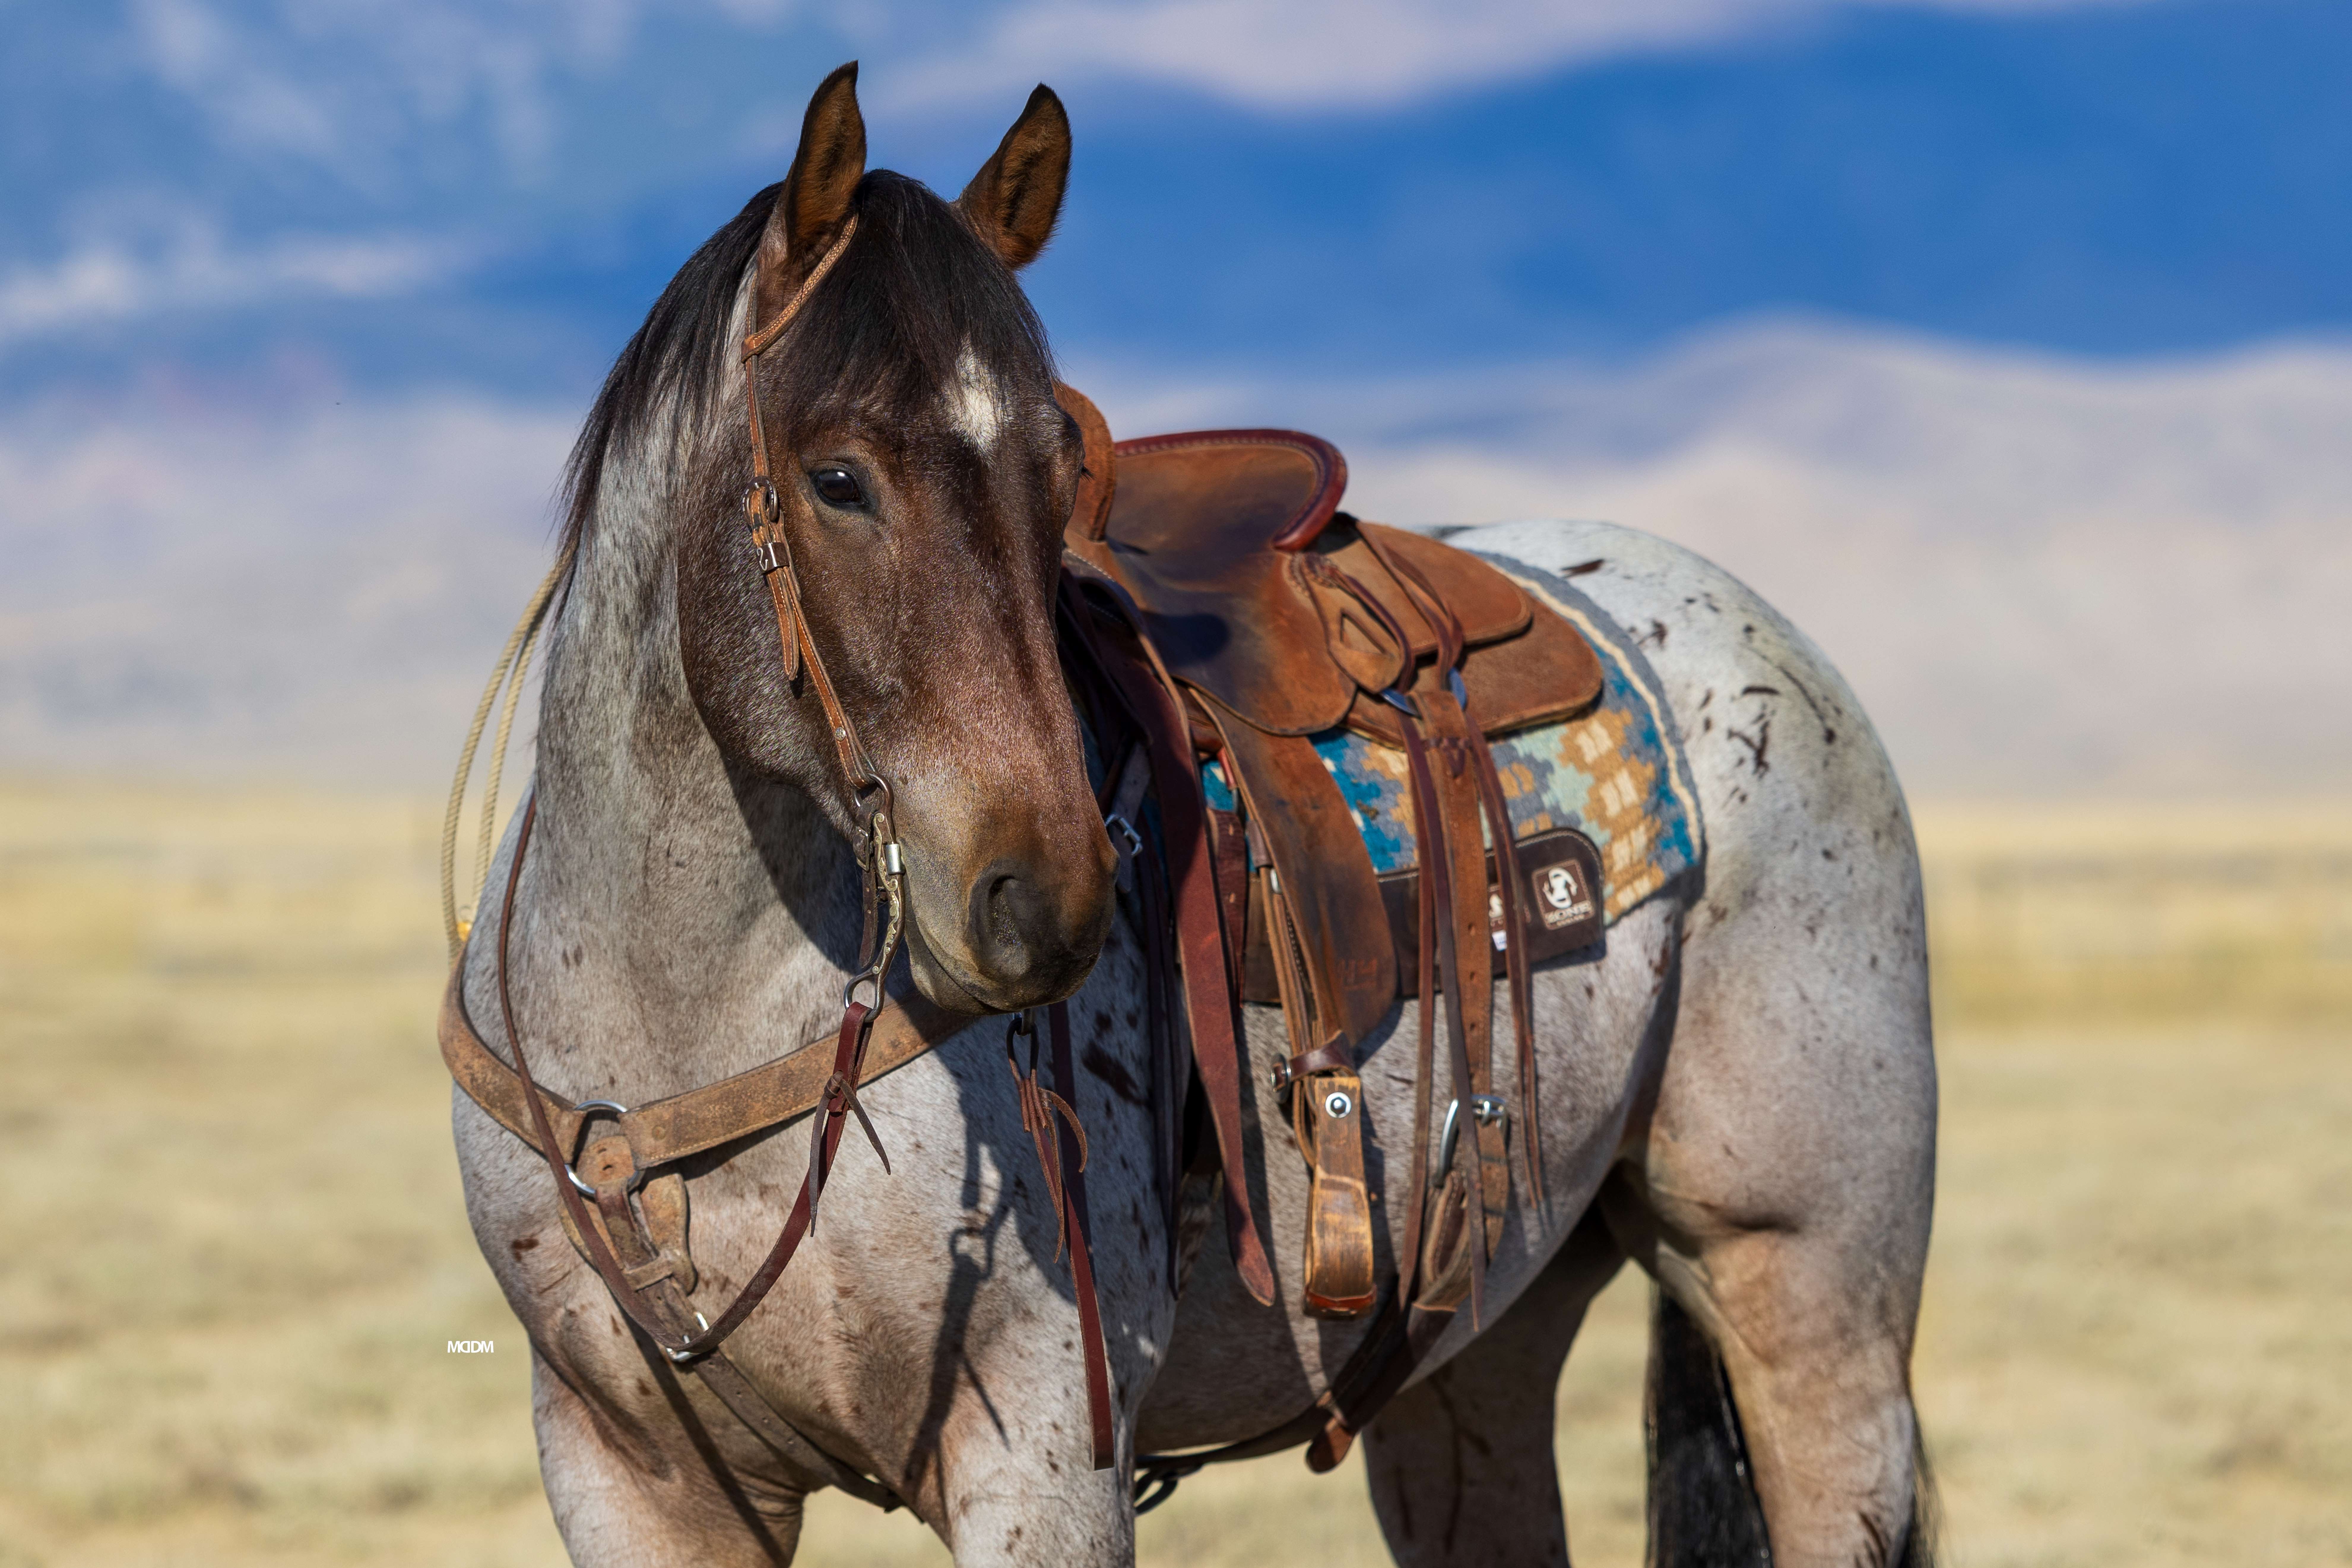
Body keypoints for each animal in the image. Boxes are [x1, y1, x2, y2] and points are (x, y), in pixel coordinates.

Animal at [449, 62, 1939, 1567]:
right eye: (838, 478)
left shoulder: (1043, 1456)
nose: (1040, 897)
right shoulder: (629, 1472)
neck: (679, 1023)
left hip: (1811, 1307)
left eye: (1064, 478)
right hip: (1473, 1363)